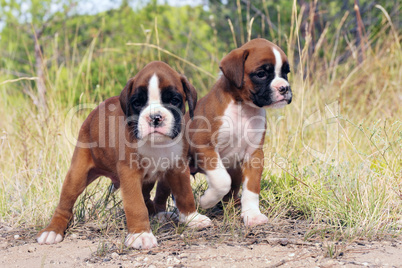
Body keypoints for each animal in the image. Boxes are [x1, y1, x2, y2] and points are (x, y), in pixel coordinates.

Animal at [36, 61, 212, 250]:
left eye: (174, 100)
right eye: (137, 102)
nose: (155, 117)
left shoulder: (177, 167)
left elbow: (185, 194)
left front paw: (192, 218)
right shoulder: (130, 174)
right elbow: (135, 205)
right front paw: (141, 235)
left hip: (147, 180)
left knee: (146, 197)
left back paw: (159, 214)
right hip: (77, 175)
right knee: (65, 204)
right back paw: (52, 231)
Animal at [154, 37, 292, 226]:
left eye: (286, 72)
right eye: (261, 74)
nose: (284, 88)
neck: (243, 108)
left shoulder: (254, 155)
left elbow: (251, 188)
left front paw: (252, 214)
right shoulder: (204, 147)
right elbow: (222, 181)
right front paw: (206, 201)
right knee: (162, 194)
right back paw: (162, 215)